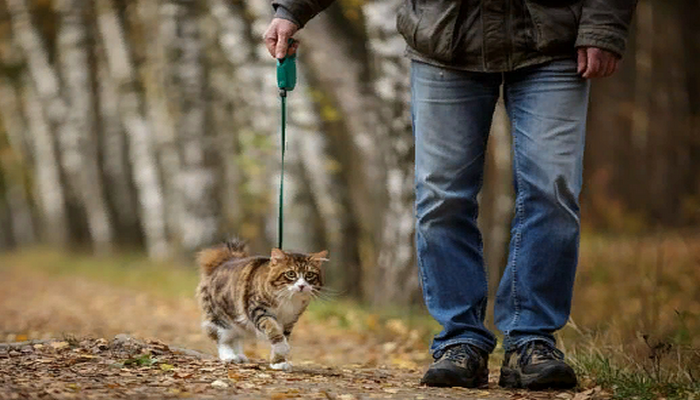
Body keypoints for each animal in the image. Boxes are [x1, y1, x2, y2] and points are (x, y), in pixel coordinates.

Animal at [197, 238, 328, 372]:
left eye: (309, 275)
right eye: (291, 274)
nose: (301, 286)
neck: (289, 299)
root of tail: (224, 261)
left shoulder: (289, 321)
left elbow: (282, 337)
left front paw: (278, 362)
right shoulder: (259, 310)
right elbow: (275, 332)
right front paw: (282, 349)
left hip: (237, 321)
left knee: (236, 339)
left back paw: (240, 355)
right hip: (220, 319)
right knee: (223, 340)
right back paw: (229, 356)